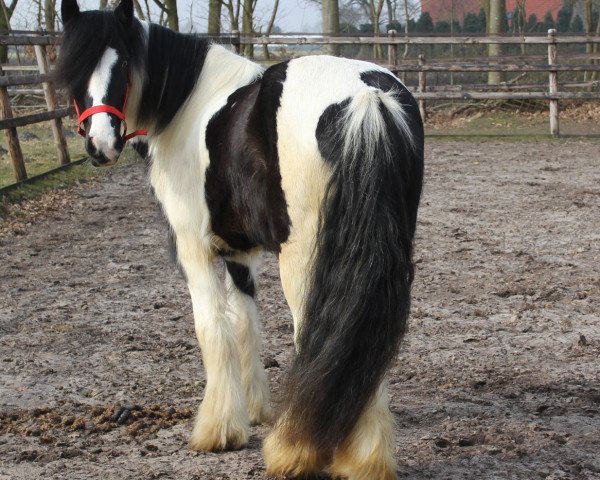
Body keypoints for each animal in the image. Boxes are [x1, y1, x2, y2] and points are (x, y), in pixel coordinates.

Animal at [55, 1, 422, 478]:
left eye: (122, 68)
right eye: (77, 69)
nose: (100, 145)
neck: (187, 106)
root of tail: (365, 97)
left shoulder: (193, 249)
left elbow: (213, 327)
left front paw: (219, 429)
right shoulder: (239, 253)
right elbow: (247, 321)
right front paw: (255, 408)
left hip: (306, 262)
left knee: (323, 334)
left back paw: (297, 450)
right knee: (365, 337)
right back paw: (364, 458)